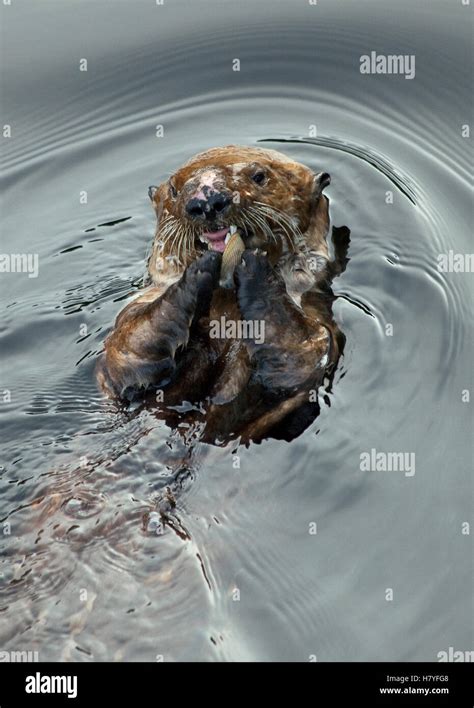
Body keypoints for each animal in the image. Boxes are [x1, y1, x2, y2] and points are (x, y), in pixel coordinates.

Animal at [96, 145, 348, 442]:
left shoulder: (317, 321)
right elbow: (126, 350)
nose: (206, 201)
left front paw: (253, 262)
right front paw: (198, 271)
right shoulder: (129, 317)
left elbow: (303, 354)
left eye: (259, 176)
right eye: (173, 189)